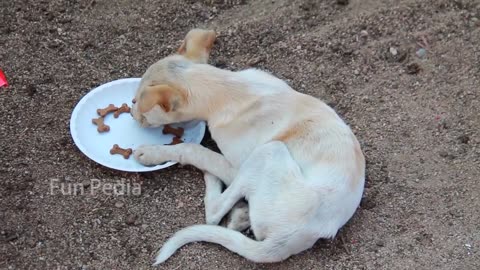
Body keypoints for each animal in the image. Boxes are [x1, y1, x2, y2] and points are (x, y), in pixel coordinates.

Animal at [130, 28, 364, 264]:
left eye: (136, 103)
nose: (131, 114)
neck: (227, 88)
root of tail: (293, 237)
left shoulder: (236, 167)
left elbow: (193, 150)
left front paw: (151, 152)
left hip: (269, 151)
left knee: (213, 213)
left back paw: (212, 179)